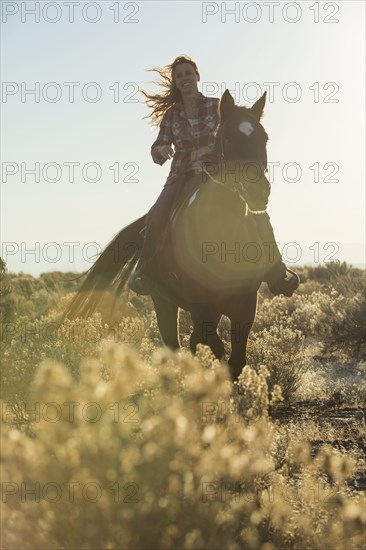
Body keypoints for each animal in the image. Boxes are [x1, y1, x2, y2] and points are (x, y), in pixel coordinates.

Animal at [63, 90, 272, 384]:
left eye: (264, 138)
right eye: (229, 138)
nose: (259, 192)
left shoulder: (245, 305)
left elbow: (235, 361)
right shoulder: (199, 305)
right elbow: (212, 348)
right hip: (163, 302)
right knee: (176, 346)